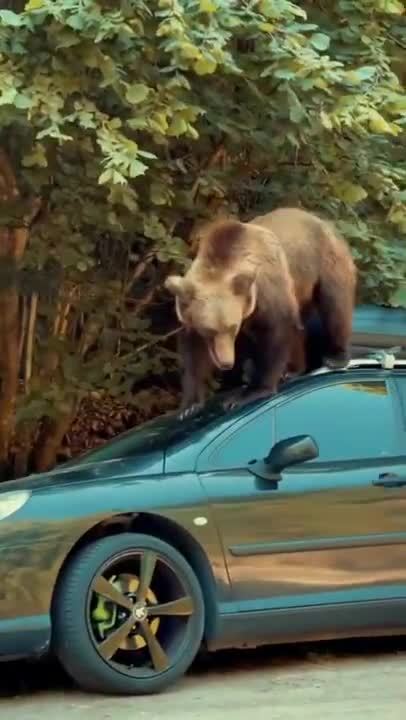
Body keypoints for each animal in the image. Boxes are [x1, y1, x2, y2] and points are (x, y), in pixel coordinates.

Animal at [165, 207, 357, 411]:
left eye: (232, 327)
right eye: (210, 330)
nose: (226, 363)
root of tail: (323, 221)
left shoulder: (268, 292)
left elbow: (276, 334)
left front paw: (250, 392)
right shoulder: (191, 313)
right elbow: (192, 352)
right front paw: (190, 405)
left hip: (325, 263)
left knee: (335, 306)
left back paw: (335, 356)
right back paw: (293, 369)